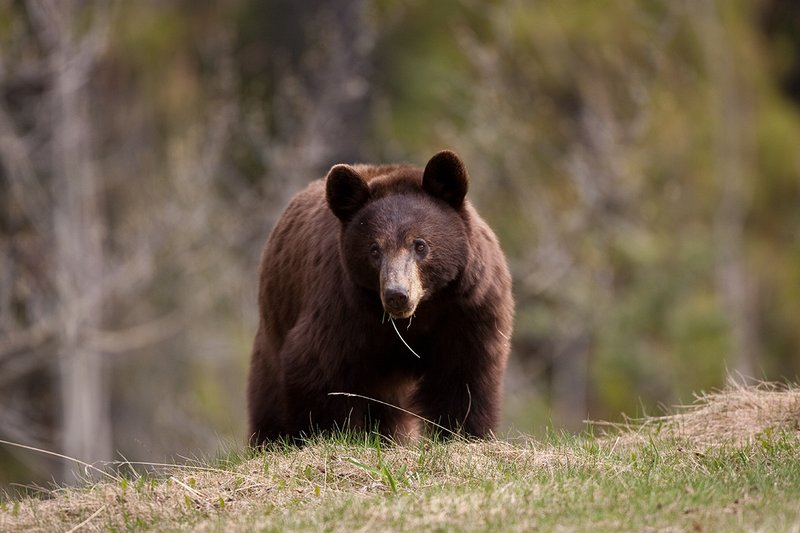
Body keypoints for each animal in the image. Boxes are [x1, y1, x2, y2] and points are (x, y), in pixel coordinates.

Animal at [246, 150, 514, 445]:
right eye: (374, 249)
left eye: (420, 244)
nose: (397, 295)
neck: (418, 315)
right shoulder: (341, 310)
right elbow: (318, 367)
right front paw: (326, 434)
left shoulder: (468, 308)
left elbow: (464, 374)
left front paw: (465, 432)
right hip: (274, 330)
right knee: (269, 397)